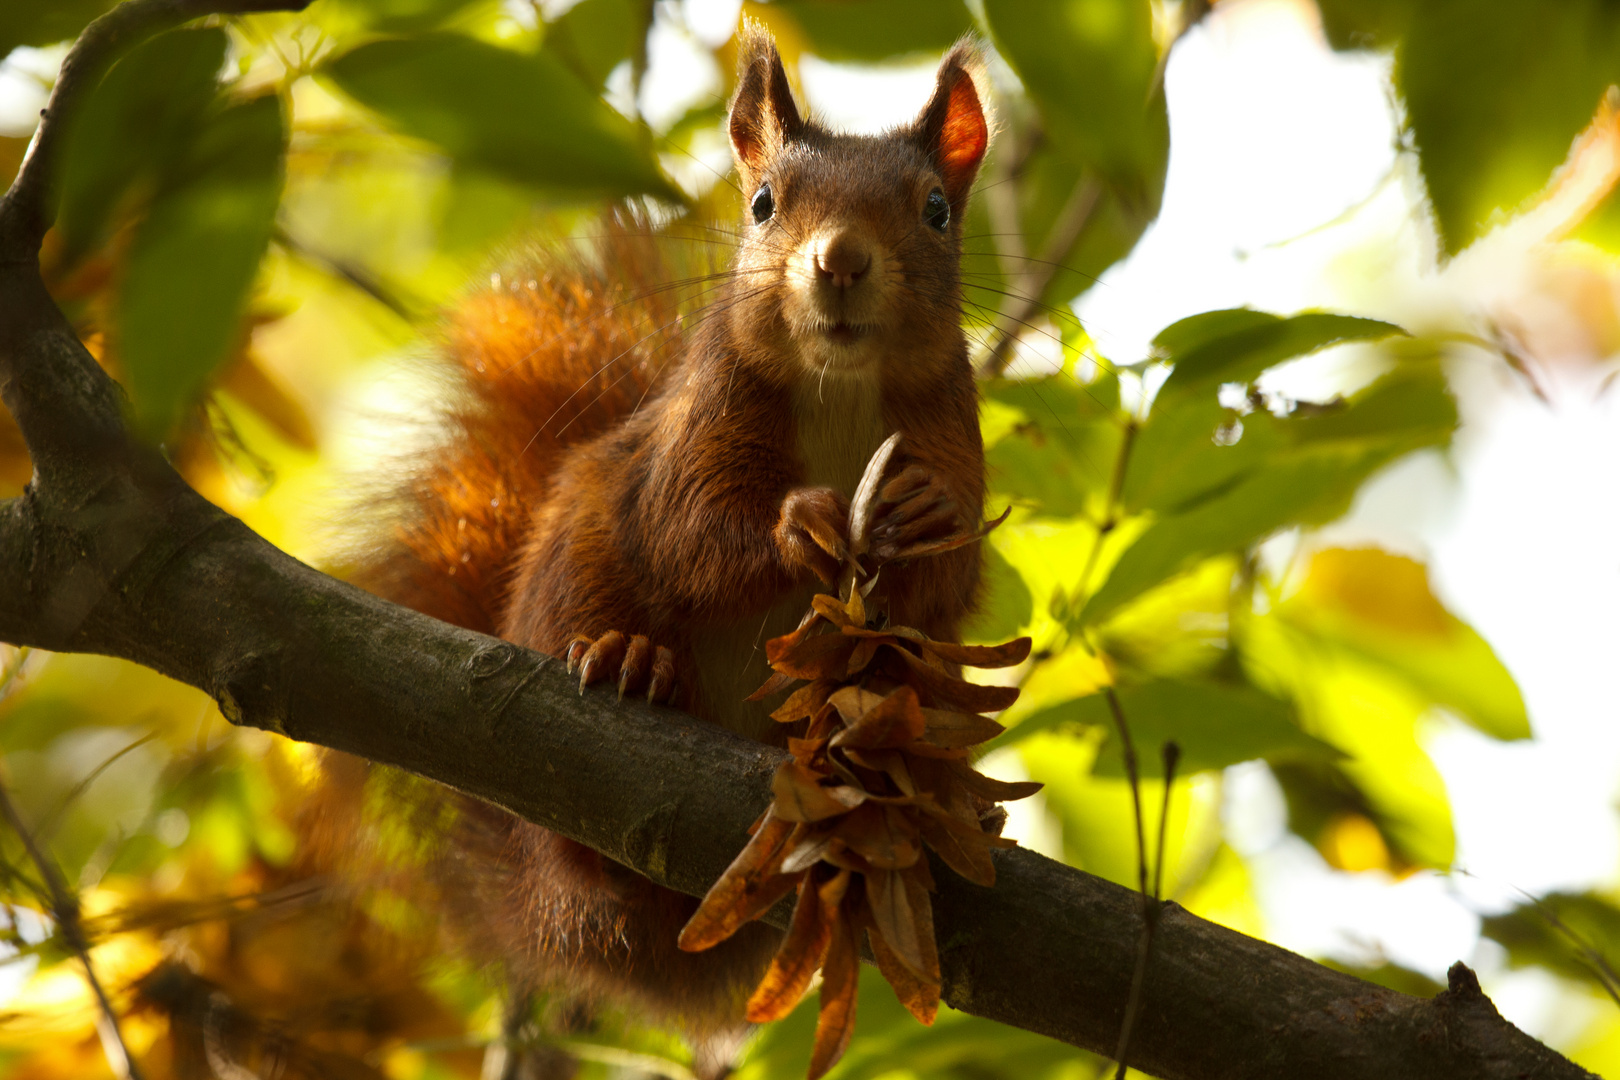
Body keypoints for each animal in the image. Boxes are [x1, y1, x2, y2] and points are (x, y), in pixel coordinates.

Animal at [349, 23, 991, 1036]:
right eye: (763, 204)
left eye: (934, 210)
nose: (841, 259)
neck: (841, 386)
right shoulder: (696, 432)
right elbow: (692, 532)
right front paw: (800, 522)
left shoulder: (951, 430)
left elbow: (947, 571)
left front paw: (926, 513)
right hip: (574, 569)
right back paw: (629, 662)